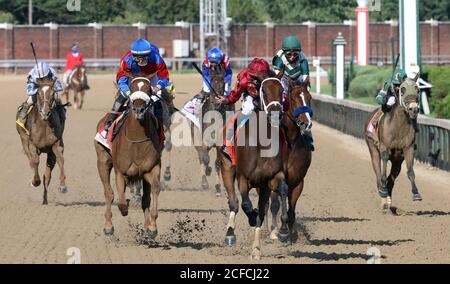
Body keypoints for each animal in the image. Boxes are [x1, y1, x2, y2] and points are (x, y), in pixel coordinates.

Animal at [95, 75, 163, 237]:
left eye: (149, 89)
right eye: (131, 89)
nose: (139, 109)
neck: (137, 139)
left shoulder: (152, 168)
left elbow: (155, 190)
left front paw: (152, 227)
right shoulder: (121, 172)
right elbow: (120, 201)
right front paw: (125, 205)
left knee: (145, 198)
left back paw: (146, 226)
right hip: (102, 161)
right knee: (108, 193)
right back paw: (108, 226)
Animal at [218, 71, 288, 260]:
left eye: (282, 90)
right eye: (263, 90)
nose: (276, 115)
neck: (262, 143)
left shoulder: (269, 180)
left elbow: (268, 205)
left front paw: (258, 248)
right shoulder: (243, 177)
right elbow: (246, 205)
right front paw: (251, 216)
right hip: (227, 167)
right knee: (234, 203)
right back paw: (229, 234)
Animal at [364, 74, 424, 214]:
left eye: (417, 89)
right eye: (402, 90)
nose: (413, 109)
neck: (398, 126)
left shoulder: (408, 149)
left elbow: (410, 171)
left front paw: (416, 193)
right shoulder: (384, 148)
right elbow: (383, 172)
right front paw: (383, 192)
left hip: (397, 162)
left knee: (391, 181)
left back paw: (388, 203)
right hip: (372, 149)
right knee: (378, 176)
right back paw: (383, 199)